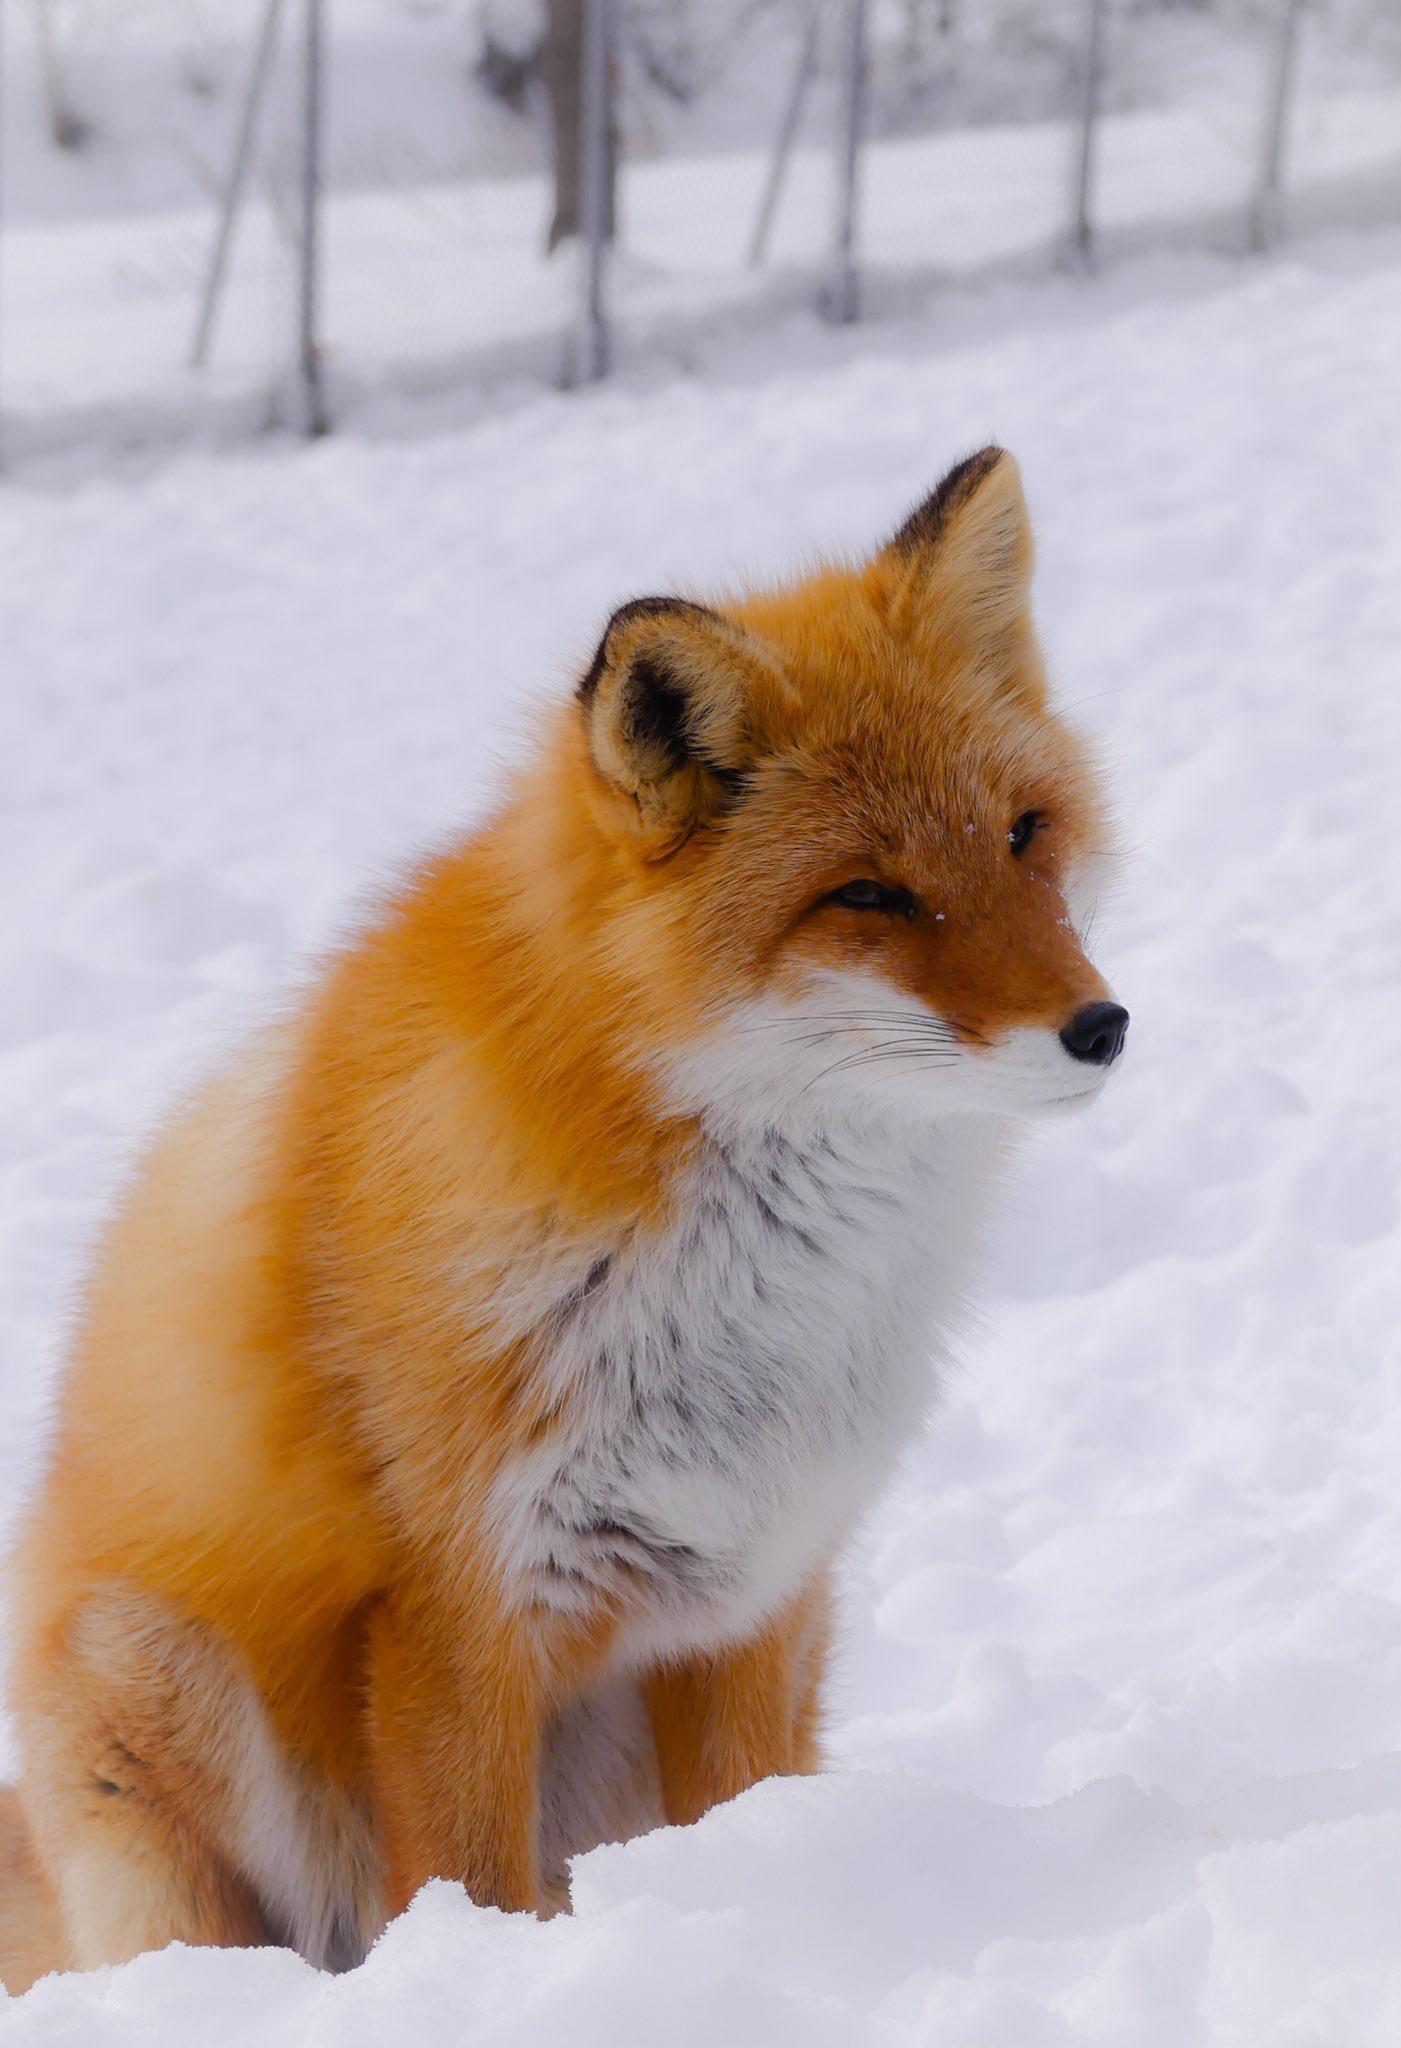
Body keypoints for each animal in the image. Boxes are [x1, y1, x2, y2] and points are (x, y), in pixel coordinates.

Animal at [0, 444, 1114, 1982]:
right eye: (870, 896)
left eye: (1024, 834)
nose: (1101, 1027)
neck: (743, 1303)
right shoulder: (454, 1611)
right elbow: (470, 1885)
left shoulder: (752, 1591)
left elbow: (747, 1808)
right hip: (160, 1679)